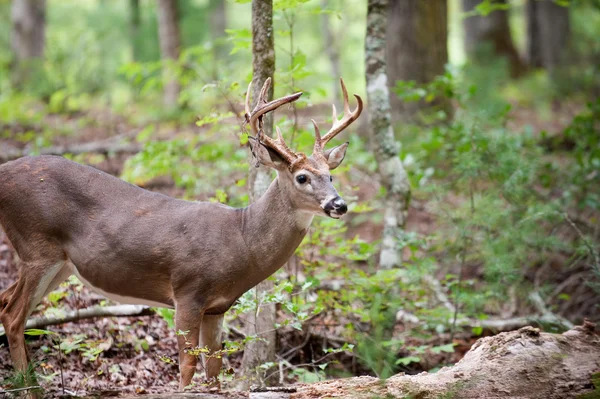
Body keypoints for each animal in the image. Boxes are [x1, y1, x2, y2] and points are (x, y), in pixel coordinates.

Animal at [0, 79, 360, 394]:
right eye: (301, 177)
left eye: (330, 176)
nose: (339, 204)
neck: (241, 239)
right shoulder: (187, 290)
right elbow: (187, 364)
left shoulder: (218, 307)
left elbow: (214, 367)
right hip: (37, 244)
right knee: (13, 315)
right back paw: (31, 389)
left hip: (60, 264)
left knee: (7, 302)